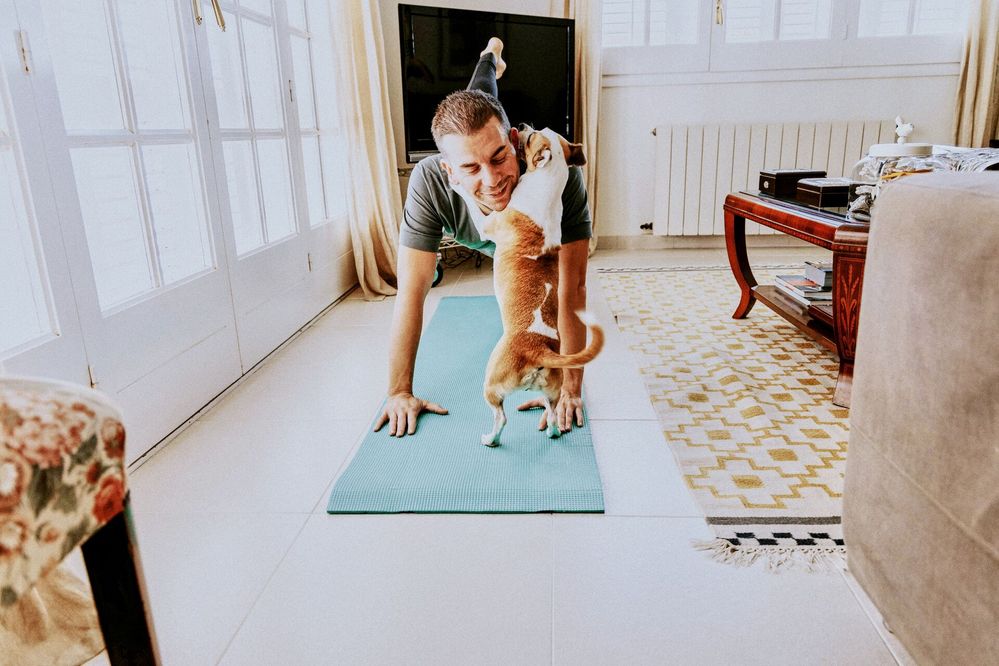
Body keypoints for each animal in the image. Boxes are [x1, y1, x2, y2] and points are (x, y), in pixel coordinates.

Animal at [480, 126, 604, 446]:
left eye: (533, 134)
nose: (522, 126)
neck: (547, 186)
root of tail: (539, 351)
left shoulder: (489, 223)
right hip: (551, 391)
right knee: (552, 412)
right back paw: (552, 430)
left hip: (491, 383)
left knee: (501, 417)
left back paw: (491, 438)